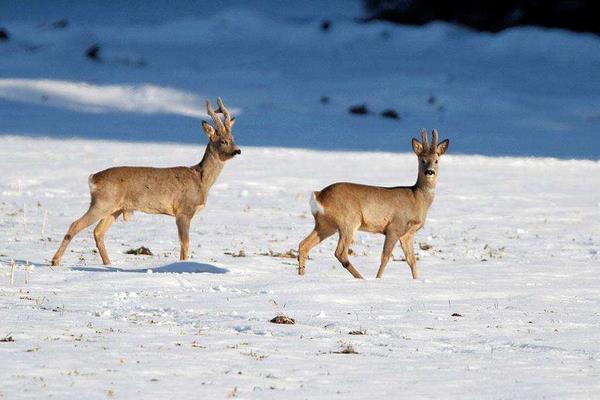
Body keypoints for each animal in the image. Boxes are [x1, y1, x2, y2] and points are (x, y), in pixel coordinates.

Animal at [50, 97, 239, 268]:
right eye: (223, 140)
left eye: (234, 138)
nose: (238, 150)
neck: (201, 179)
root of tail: (93, 178)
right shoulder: (183, 211)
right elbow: (185, 245)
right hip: (103, 202)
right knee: (76, 224)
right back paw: (55, 261)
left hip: (114, 209)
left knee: (98, 232)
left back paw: (108, 264)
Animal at [298, 130, 448, 280]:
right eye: (422, 160)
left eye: (436, 160)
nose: (430, 171)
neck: (416, 198)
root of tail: (319, 196)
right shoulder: (394, 227)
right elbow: (385, 257)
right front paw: (378, 279)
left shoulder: (407, 234)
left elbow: (412, 260)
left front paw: (416, 280)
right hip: (349, 220)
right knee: (340, 252)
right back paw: (361, 278)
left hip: (326, 225)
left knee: (304, 245)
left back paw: (301, 275)